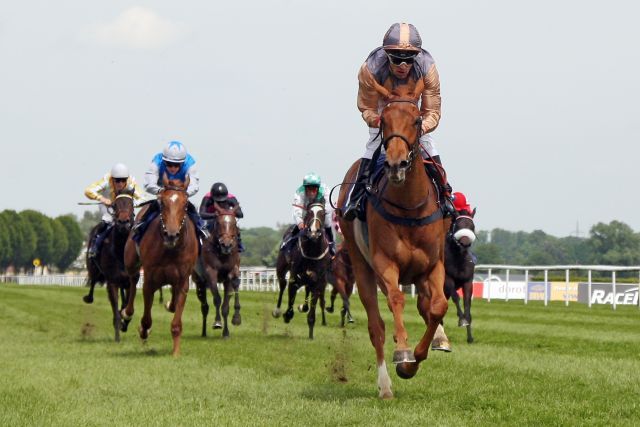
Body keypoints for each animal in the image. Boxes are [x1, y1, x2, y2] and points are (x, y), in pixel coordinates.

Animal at [84, 189, 135, 342]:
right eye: (115, 205)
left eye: (131, 204)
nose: (123, 222)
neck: (121, 250)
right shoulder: (112, 281)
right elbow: (117, 310)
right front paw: (118, 333)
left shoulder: (130, 281)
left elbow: (127, 307)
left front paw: (125, 322)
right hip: (93, 268)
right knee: (93, 280)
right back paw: (88, 297)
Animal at [120, 176, 198, 358]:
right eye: (162, 202)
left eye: (185, 204)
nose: (171, 235)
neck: (171, 249)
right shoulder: (150, 280)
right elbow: (146, 318)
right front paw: (143, 330)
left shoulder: (183, 280)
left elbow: (176, 320)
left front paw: (176, 352)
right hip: (131, 261)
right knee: (133, 280)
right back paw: (126, 314)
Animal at [191, 209, 241, 340]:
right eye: (218, 223)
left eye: (234, 223)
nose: (226, 245)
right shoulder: (211, 273)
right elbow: (217, 299)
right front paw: (218, 322)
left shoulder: (229, 275)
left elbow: (226, 305)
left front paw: (226, 332)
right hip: (199, 282)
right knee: (204, 307)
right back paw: (203, 332)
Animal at [272, 202, 330, 340]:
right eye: (309, 212)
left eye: (322, 213)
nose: (314, 231)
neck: (312, 251)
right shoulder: (294, 277)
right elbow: (290, 296)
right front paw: (287, 315)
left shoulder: (318, 281)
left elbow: (312, 308)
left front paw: (311, 334)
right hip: (281, 268)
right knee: (282, 284)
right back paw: (277, 311)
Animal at [336, 91, 450, 402]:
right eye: (384, 121)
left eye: (417, 121)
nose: (396, 164)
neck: (410, 207)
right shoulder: (385, 262)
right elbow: (397, 300)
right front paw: (403, 353)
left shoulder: (433, 264)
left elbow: (438, 306)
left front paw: (417, 358)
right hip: (360, 263)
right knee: (376, 326)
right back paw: (385, 386)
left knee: (426, 305)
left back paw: (440, 338)